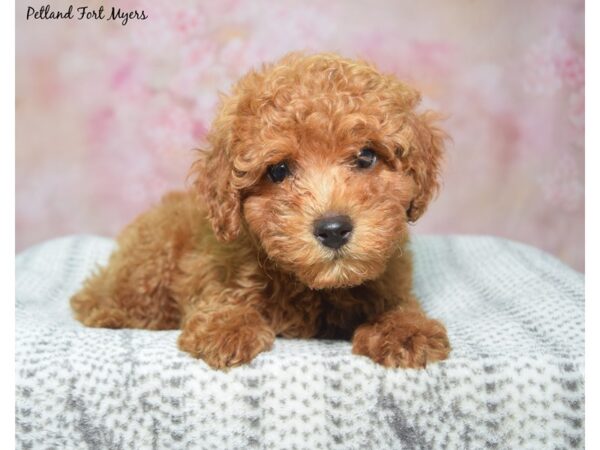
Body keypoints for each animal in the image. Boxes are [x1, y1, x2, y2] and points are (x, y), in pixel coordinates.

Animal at [70, 52, 450, 370]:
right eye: (278, 171)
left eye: (367, 156)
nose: (333, 229)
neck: (314, 287)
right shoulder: (215, 269)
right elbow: (220, 296)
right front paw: (226, 326)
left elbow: (398, 303)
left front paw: (405, 329)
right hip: (149, 268)